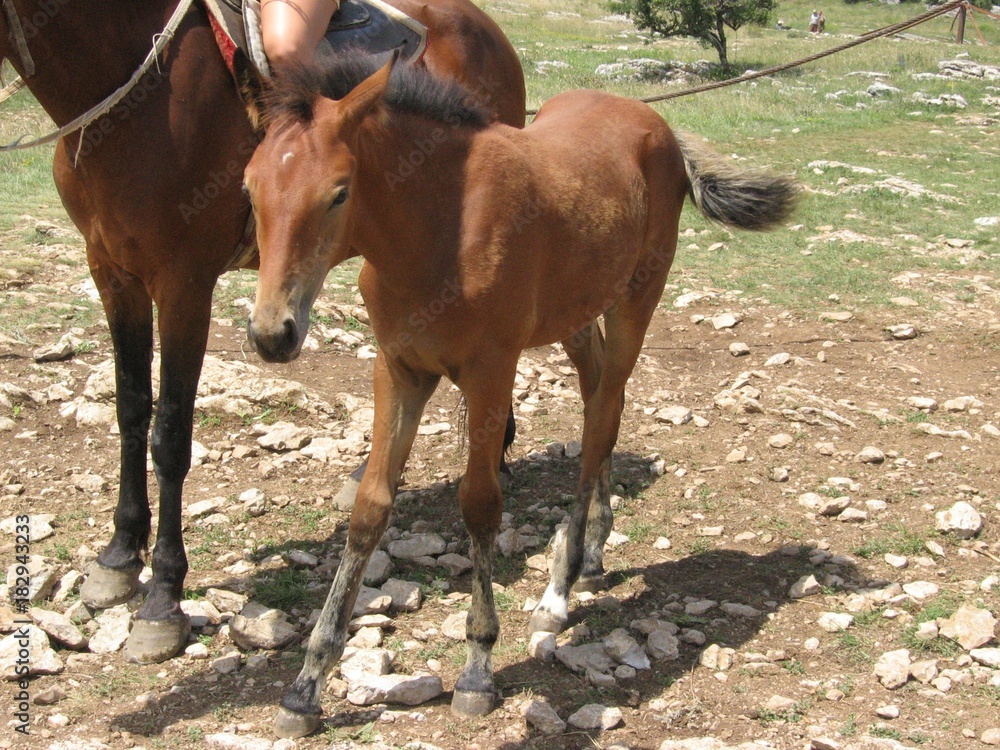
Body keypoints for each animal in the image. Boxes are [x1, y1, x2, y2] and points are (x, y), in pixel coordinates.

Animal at [0, 0, 524, 665]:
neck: (134, 98)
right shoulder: (111, 271)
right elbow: (130, 409)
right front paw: (118, 557)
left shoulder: (184, 283)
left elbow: (170, 434)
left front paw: (163, 599)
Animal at [239, 52, 799, 738]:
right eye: (249, 188)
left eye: (338, 191)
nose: (273, 334)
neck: (438, 232)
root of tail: (658, 124)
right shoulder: (398, 370)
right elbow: (370, 509)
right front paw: (306, 684)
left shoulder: (490, 371)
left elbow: (480, 503)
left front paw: (478, 668)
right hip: (575, 315)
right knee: (597, 396)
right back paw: (595, 549)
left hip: (636, 301)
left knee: (602, 418)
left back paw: (560, 587)